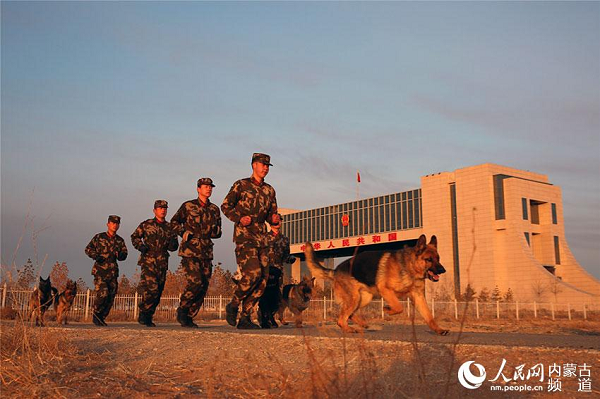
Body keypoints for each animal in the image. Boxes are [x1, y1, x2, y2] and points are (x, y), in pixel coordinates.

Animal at [308, 236, 448, 336]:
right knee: (341, 319)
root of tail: (336, 270)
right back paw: (349, 329)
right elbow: (399, 307)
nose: (443, 270)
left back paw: (362, 324)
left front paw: (439, 329)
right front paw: (387, 309)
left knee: (349, 314)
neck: (409, 266)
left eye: (438, 258)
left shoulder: (419, 297)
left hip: (363, 298)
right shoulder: (385, 289)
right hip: (355, 298)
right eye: (429, 259)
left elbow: (429, 316)